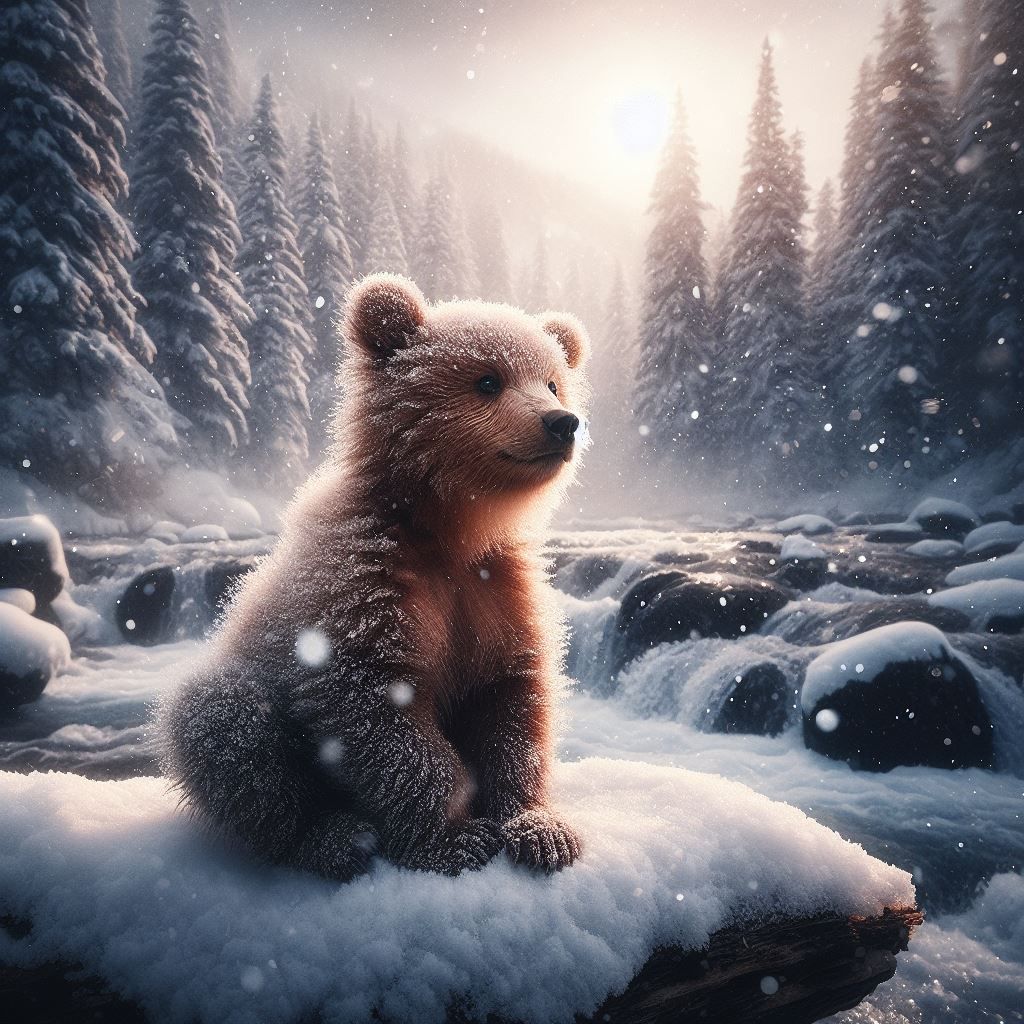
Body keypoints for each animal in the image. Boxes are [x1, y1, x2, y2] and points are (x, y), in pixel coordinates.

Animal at [158, 273, 590, 880]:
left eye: (552, 381)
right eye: (487, 379)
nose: (561, 422)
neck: (446, 532)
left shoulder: (497, 592)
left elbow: (512, 701)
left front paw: (540, 830)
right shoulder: (364, 581)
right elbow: (380, 712)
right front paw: (453, 837)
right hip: (242, 690)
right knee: (227, 730)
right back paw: (332, 837)